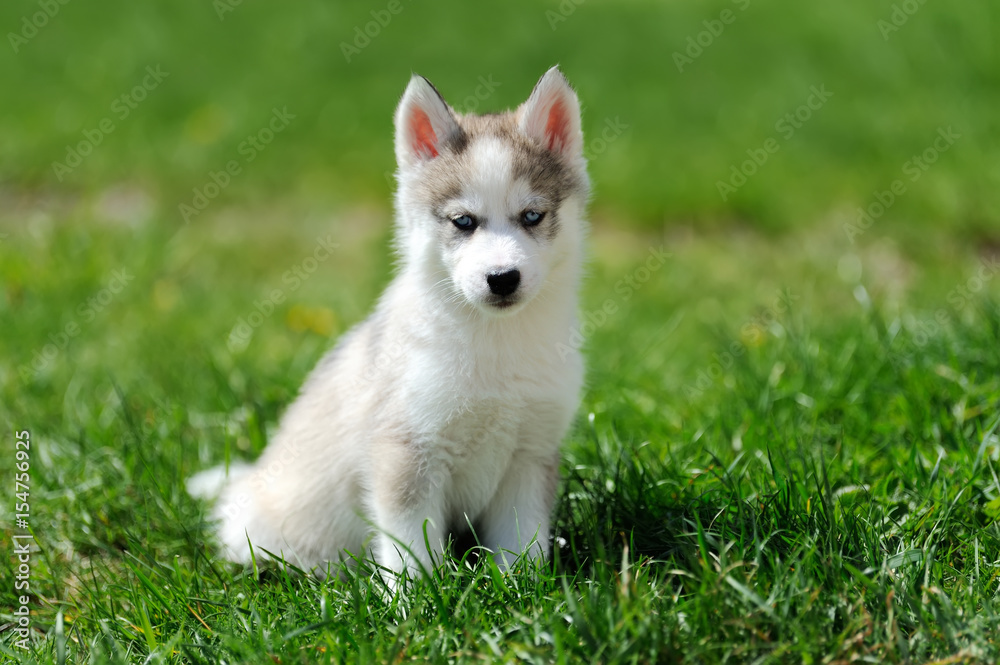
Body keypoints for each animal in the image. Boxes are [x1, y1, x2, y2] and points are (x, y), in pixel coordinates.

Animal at [189, 67, 584, 580]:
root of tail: (248, 483)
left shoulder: (530, 454)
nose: (502, 278)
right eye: (463, 222)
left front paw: (523, 589)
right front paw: (415, 598)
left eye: (532, 215)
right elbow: (410, 551)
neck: (496, 344)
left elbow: (522, 543)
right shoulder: (406, 451)